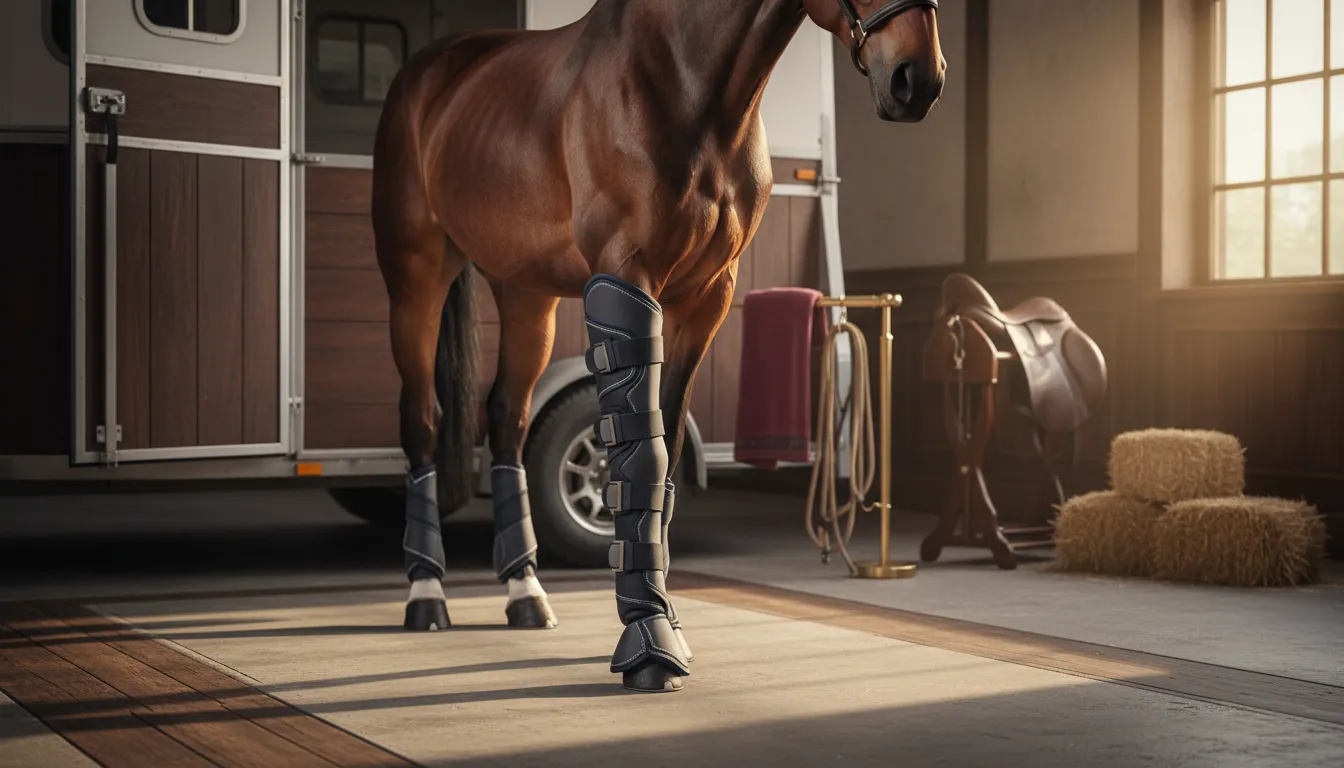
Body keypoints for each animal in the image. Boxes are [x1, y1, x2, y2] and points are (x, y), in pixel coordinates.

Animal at [371, 0, 944, 694]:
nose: (918, 80)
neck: (691, 88)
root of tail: (428, 71)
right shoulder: (628, 275)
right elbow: (639, 459)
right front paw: (648, 648)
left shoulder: (705, 297)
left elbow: (664, 458)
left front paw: (666, 627)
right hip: (416, 274)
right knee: (422, 421)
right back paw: (426, 594)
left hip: (524, 293)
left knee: (507, 420)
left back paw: (525, 592)